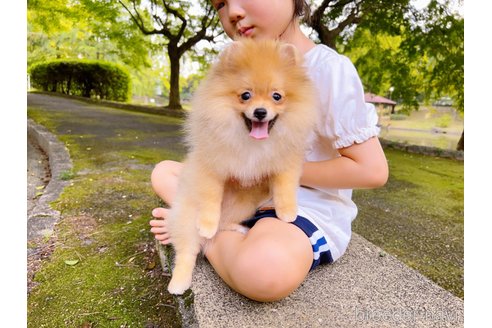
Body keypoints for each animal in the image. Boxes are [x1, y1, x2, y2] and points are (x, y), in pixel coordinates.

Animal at [167, 39, 318, 294]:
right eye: (245, 95)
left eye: (277, 96)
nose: (260, 111)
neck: (252, 143)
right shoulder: (212, 167)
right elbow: (211, 199)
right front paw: (207, 224)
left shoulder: (286, 162)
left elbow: (285, 187)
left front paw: (287, 212)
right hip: (187, 217)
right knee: (187, 250)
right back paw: (179, 282)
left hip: (245, 205)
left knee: (223, 227)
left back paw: (236, 229)